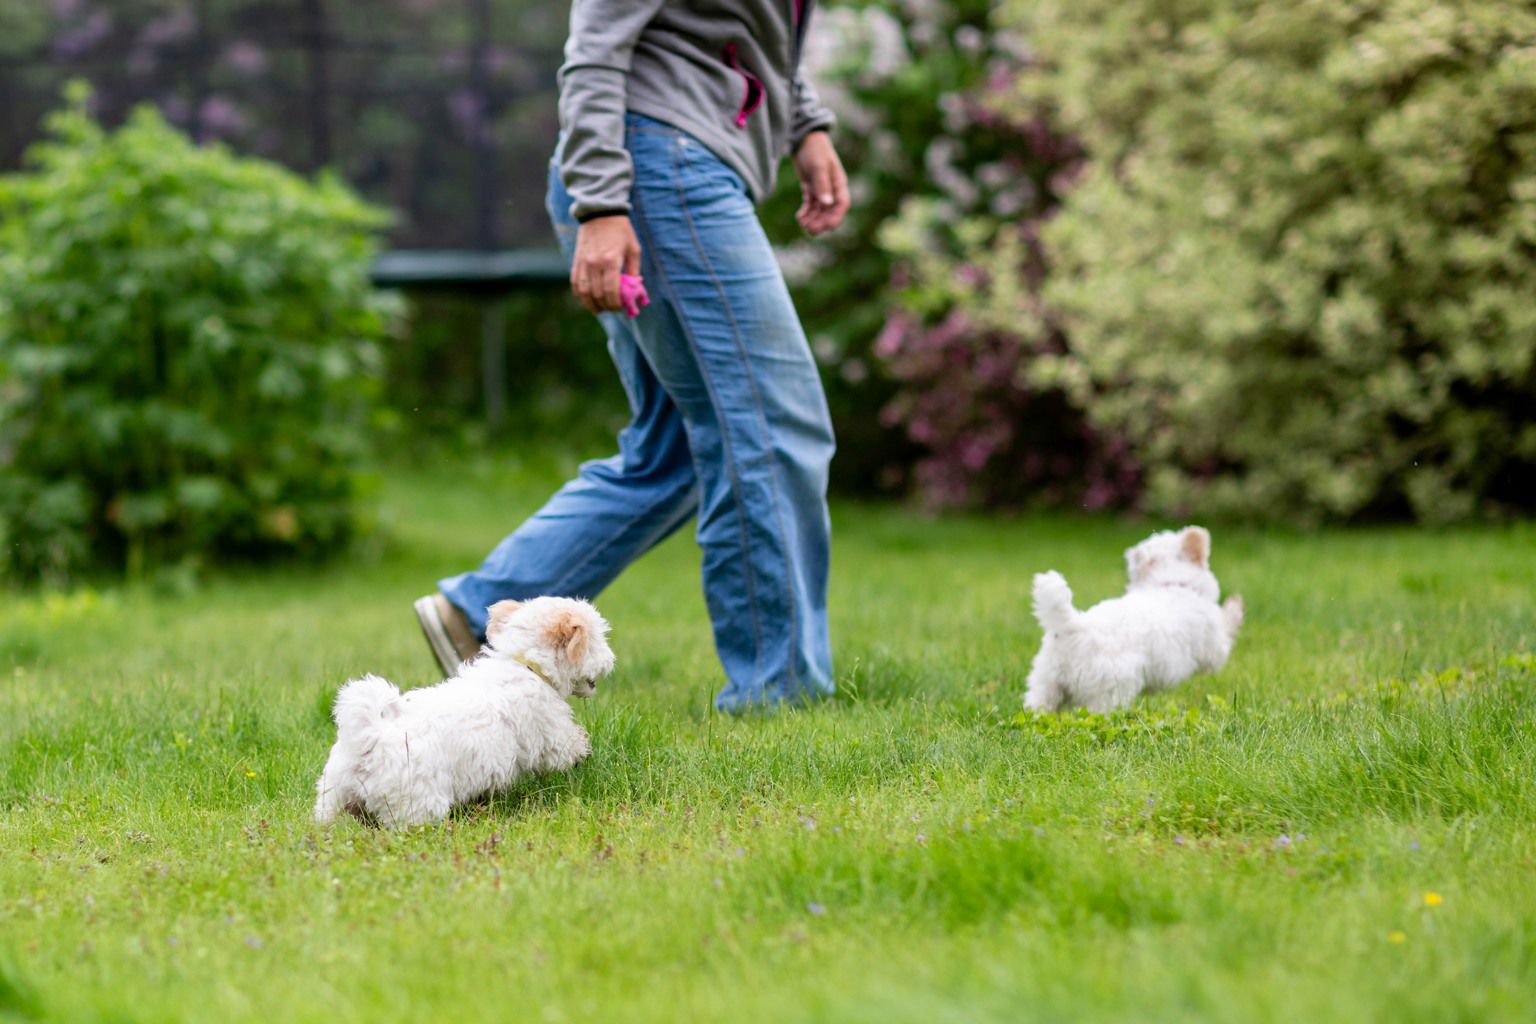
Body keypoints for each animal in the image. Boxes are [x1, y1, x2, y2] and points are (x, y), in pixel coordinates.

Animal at [311, 595, 611, 829]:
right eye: (597, 639)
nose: (611, 659)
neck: (524, 664)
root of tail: (369, 734)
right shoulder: (548, 731)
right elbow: (566, 747)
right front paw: (583, 751)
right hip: (417, 801)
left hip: (334, 790)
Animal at [1026, 528, 1241, 712]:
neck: (1167, 583)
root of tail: (1073, 627)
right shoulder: (1213, 648)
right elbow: (1227, 627)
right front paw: (1235, 604)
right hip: (1109, 692)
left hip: (1046, 683)